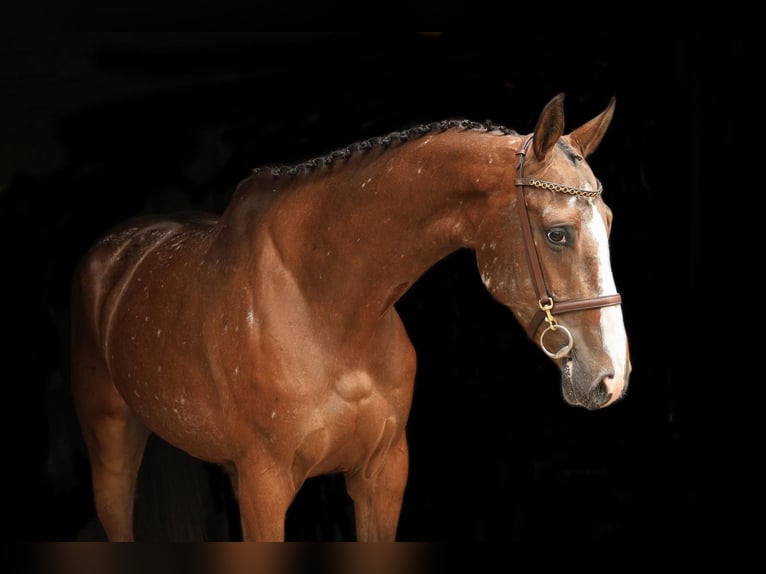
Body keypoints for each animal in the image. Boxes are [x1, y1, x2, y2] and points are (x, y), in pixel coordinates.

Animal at [70, 92, 631, 541]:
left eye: (607, 222)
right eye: (558, 233)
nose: (612, 377)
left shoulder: (382, 474)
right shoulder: (265, 486)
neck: (326, 308)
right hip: (112, 446)